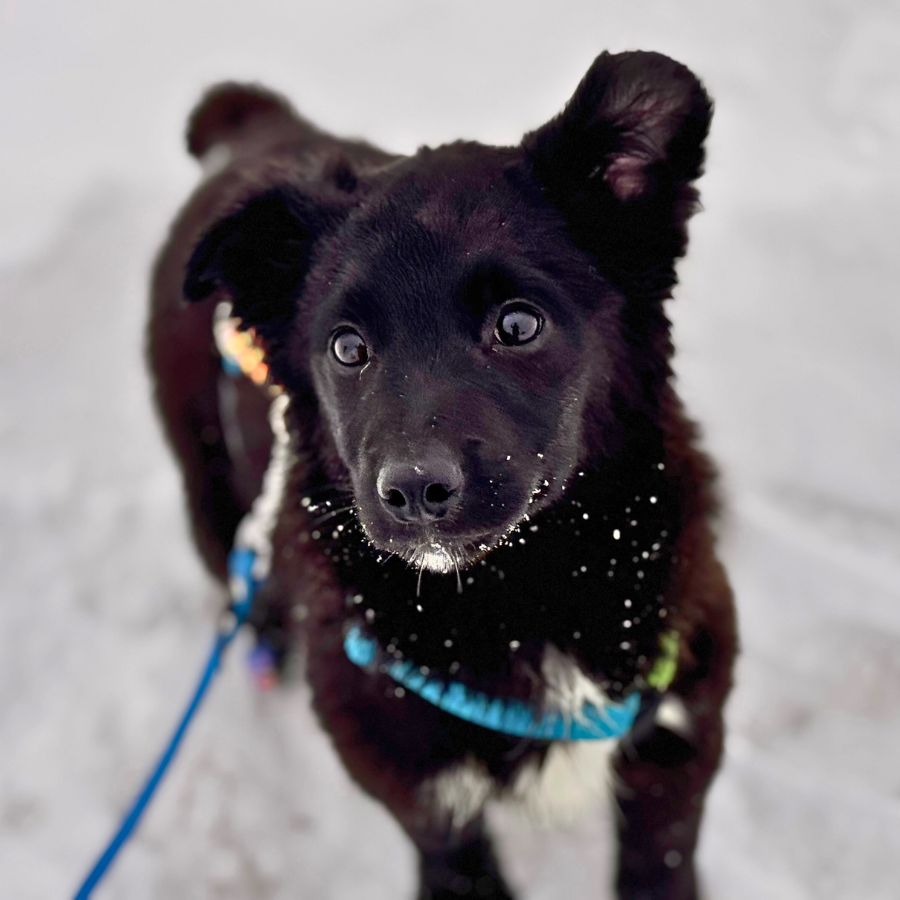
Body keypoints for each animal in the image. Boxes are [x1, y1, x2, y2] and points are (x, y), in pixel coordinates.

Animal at [148, 50, 737, 900]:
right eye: (347, 348)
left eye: (518, 324)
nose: (413, 491)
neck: (531, 590)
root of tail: (261, 125)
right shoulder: (416, 786)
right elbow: (459, 869)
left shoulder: (679, 746)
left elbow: (660, 865)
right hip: (209, 488)